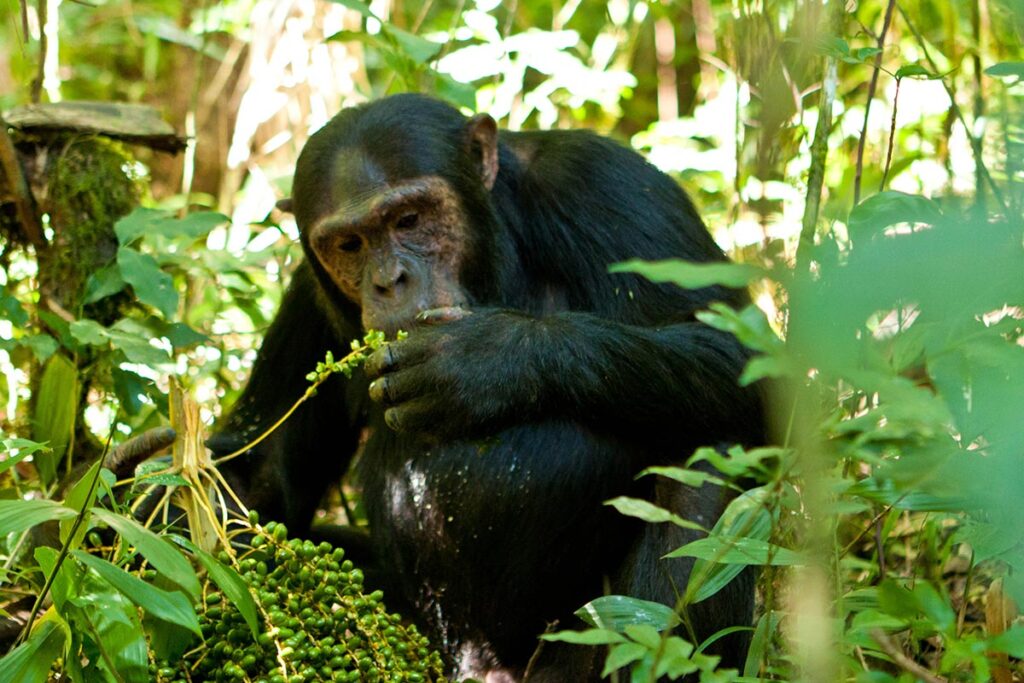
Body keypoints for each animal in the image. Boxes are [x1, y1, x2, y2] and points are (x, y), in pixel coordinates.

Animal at [211, 93, 765, 679]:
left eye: (409, 219)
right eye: (349, 244)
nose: (388, 281)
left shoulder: (611, 186)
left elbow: (743, 354)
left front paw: (480, 358)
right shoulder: (306, 298)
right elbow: (259, 473)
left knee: (704, 466)